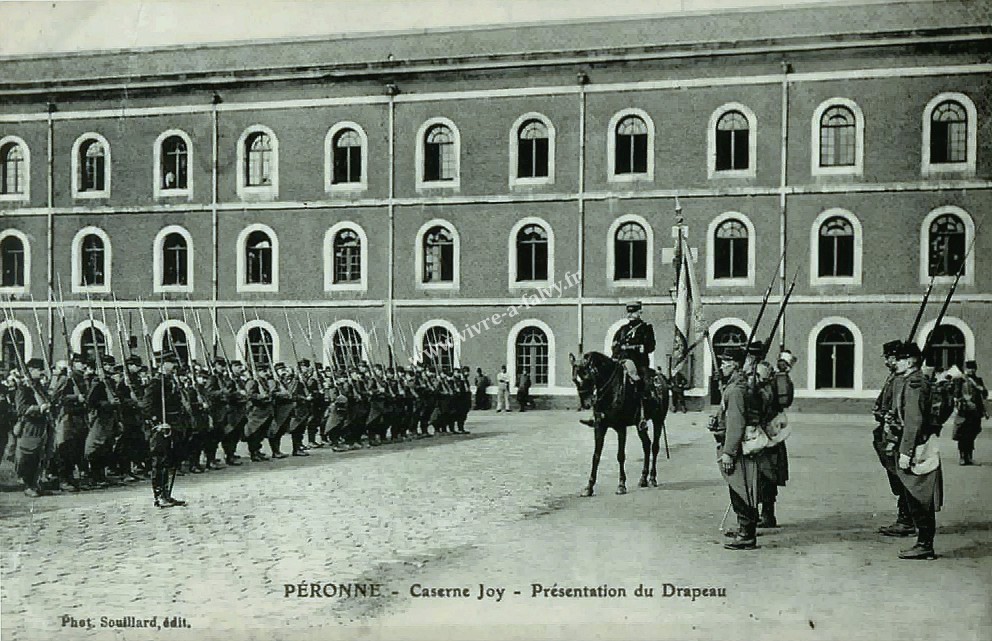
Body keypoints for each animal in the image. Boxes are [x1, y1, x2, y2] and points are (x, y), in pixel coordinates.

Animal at [568, 350, 672, 496]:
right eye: (574, 380)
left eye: (588, 377)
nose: (586, 404)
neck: (611, 391)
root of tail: (661, 377)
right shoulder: (599, 427)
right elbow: (596, 456)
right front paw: (589, 487)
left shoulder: (621, 428)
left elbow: (620, 456)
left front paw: (621, 485)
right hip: (640, 425)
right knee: (646, 445)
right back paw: (643, 478)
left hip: (658, 420)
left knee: (655, 447)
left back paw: (652, 478)